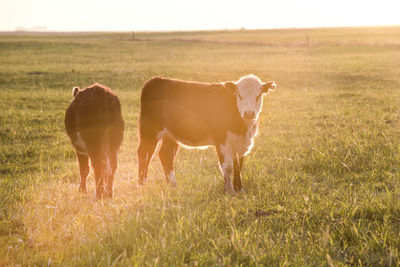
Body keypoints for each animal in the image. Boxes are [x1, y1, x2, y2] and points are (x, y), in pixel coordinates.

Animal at [138, 74, 276, 194]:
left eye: (258, 95)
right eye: (239, 96)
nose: (249, 113)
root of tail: (156, 80)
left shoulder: (241, 143)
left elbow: (238, 166)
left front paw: (239, 188)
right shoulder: (221, 141)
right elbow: (228, 167)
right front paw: (229, 190)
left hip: (170, 135)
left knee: (165, 155)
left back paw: (172, 185)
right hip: (149, 132)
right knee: (144, 153)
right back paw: (142, 183)